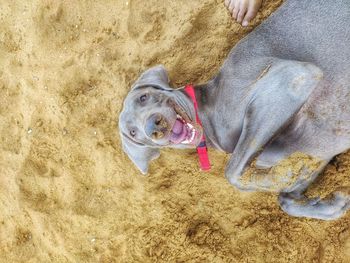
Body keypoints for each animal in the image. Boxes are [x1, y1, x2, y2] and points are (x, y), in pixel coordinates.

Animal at [118, 0, 350, 221]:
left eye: (143, 97)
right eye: (133, 132)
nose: (154, 126)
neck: (207, 115)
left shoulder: (293, 78)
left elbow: (232, 172)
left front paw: (287, 175)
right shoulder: (313, 150)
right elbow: (286, 198)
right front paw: (333, 203)